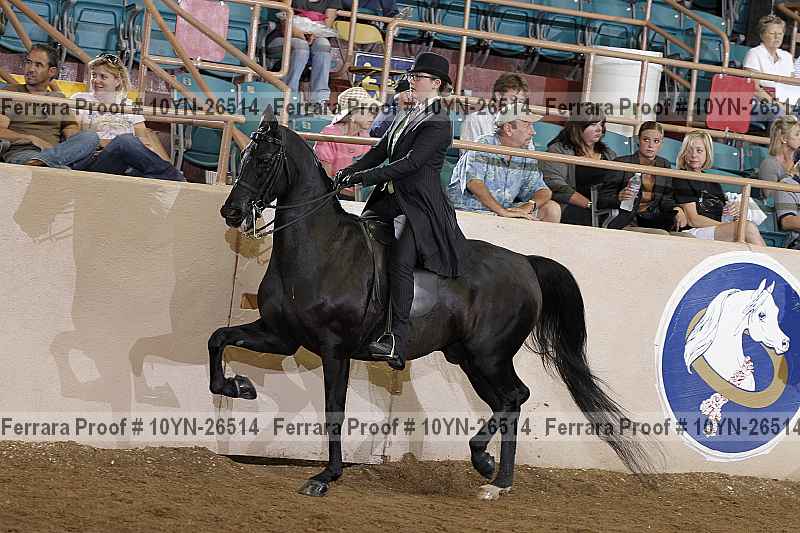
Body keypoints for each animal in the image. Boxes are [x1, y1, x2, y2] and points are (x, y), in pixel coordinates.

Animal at [210, 109, 653, 499]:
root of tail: (525, 263)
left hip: (489, 354)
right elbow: (219, 339)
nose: (230, 212)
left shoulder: (335, 350)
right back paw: (494, 476)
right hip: (469, 358)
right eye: (243, 158)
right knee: (509, 401)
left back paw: (491, 471)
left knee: (515, 396)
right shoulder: (281, 336)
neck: (321, 249)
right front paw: (238, 385)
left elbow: (334, 407)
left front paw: (326, 476)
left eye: (264, 160)